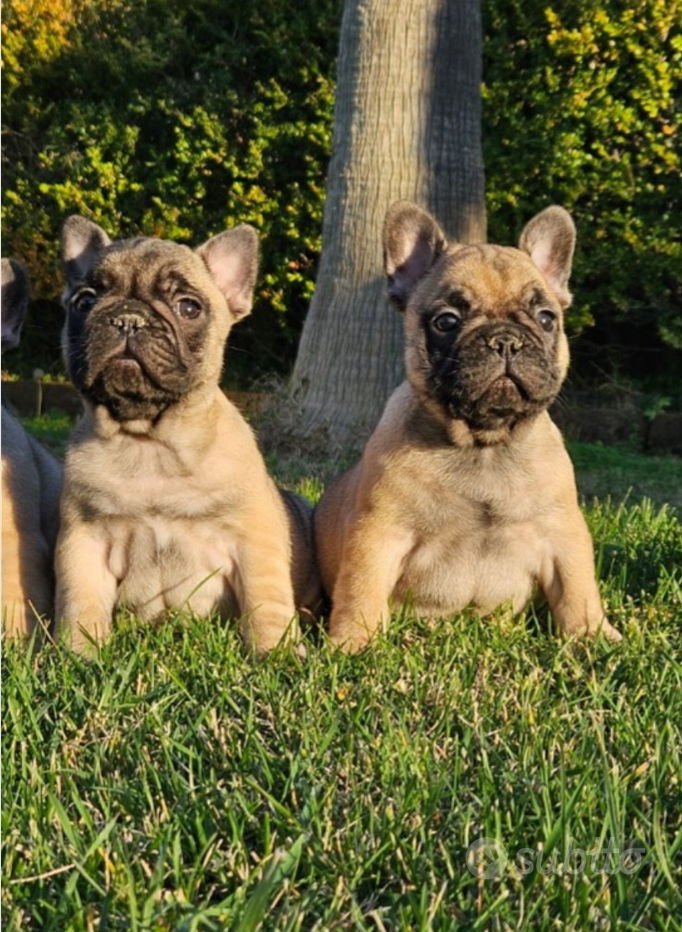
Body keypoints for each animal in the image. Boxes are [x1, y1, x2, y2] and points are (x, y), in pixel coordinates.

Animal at [54, 218, 318, 656]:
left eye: (189, 307)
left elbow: (265, 602)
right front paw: (78, 653)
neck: (149, 441)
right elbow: (81, 599)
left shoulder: (253, 541)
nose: (129, 318)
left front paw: (273, 653)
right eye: (85, 301)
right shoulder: (84, 541)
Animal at [314, 200, 620, 652]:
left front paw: (592, 635)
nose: (506, 340)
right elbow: (361, 590)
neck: (484, 444)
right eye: (446, 321)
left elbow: (579, 588)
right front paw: (354, 643)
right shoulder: (378, 534)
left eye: (546, 318)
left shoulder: (564, 535)